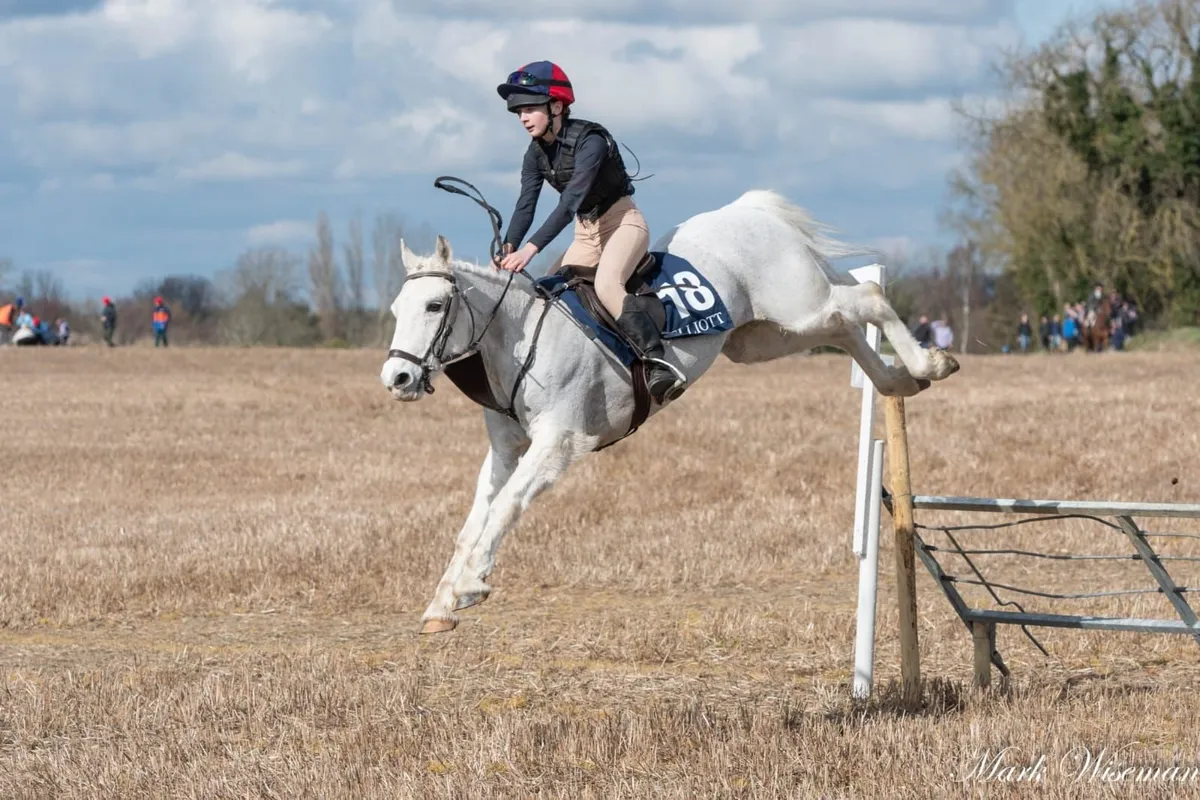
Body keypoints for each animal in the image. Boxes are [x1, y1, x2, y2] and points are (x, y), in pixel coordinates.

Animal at [380, 188, 960, 634]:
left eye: (435, 305)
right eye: (395, 309)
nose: (397, 379)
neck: (520, 339)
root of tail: (750, 210)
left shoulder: (558, 444)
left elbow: (505, 507)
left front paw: (472, 583)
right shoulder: (505, 450)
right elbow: (475, 519)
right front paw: (442, 602)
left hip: (799, 305)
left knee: (866, 297)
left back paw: (930, 361)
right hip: (765, 336)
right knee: (845, 324)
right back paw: (900, 379)